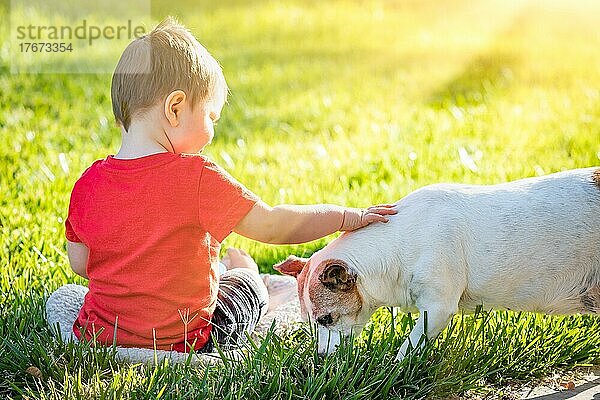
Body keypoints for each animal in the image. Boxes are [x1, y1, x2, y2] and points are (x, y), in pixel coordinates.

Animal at [276, 167, 600, 360]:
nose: (320, 358)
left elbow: (407, 347)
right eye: (309, 323)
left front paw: (394, 372)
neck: (398, 244)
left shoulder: (437, 309)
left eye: (326, 319)